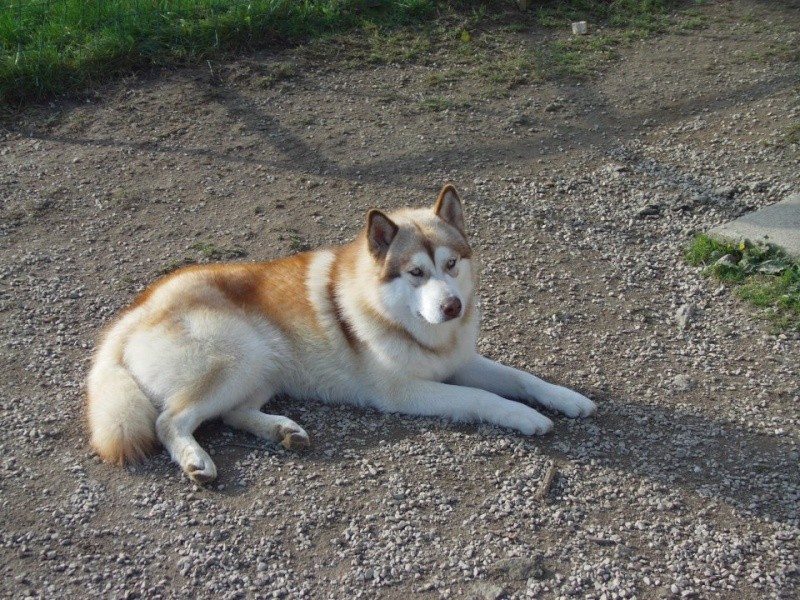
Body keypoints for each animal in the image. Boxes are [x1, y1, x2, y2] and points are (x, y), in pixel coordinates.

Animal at [86, 183, 592, 482]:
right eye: (415, 273)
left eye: (451, 264)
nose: (452, 306)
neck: (412, 325)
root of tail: (136, 309)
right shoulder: (405, 391)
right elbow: (483, 398)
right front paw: (523, 416)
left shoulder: (460, 362)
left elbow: (523, 378)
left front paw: (568, 398)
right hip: (239, 356)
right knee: (169, 420)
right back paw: (195, 459)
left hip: (265, 367)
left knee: (230, 414)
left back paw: (283, 431)